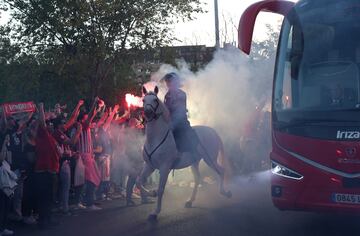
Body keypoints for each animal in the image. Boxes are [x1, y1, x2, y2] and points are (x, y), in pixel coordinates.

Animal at [136, 86, 232, 221]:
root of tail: (213, 131)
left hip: (210, 159)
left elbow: (161, 189)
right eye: (144, 100)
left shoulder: (164, 168)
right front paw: (152, 193)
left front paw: (155, 212)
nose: (148, 112)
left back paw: (225, 192)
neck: (155, 139)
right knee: (197, 179)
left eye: (155, 100)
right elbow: (139, 182)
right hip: (195, 162)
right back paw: (190, 201)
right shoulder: (149, 166)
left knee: (221, 171)